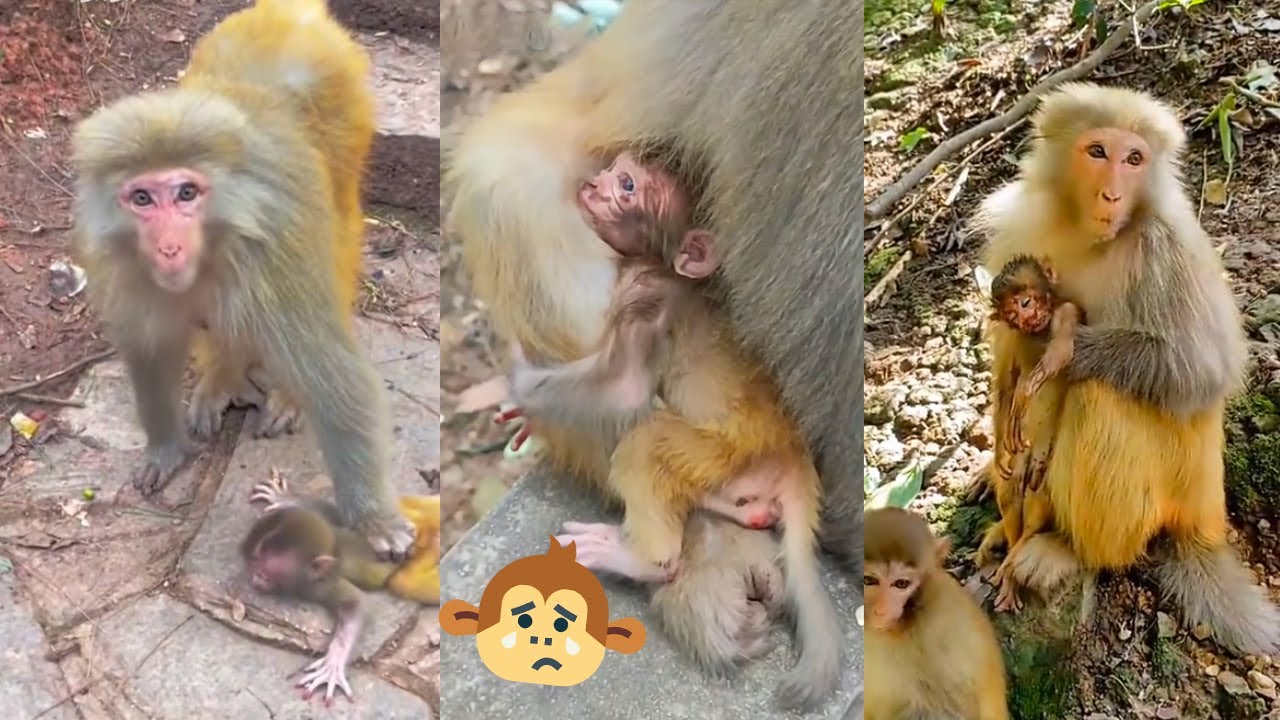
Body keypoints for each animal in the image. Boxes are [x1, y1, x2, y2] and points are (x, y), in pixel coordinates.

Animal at [70, 0, 414, 559]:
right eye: (142, 198)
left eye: (186, 193)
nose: (168, 246)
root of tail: (289, 15)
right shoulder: (117, 264)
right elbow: (149, 349)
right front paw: (166, 448)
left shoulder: (272, 252)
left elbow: (332, 368)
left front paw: (373, 518)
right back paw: (223, 374)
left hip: (345, 113)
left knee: (335, 239)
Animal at [506, 152, 843, 705]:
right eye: (619, 168)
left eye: (627, 186)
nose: (593, 183)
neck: (656, 266)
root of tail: (794, 454)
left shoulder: (645, 296)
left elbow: (624, 390)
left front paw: (517, 384)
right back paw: (739, 514)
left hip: (718, 449)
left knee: (646, 441)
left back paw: (644, 560)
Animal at [972, 82, 1280, 654]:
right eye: (1098, 152)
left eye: (1134, 159)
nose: (1113, 194)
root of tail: (1206, 519)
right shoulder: (1022, 224)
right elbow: (1005, 348)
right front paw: (998, 447)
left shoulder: (1167, 246)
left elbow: (1202, 370)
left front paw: (1056, 349)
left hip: (1168, 491)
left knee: (1102, 394)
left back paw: (1070, 548)